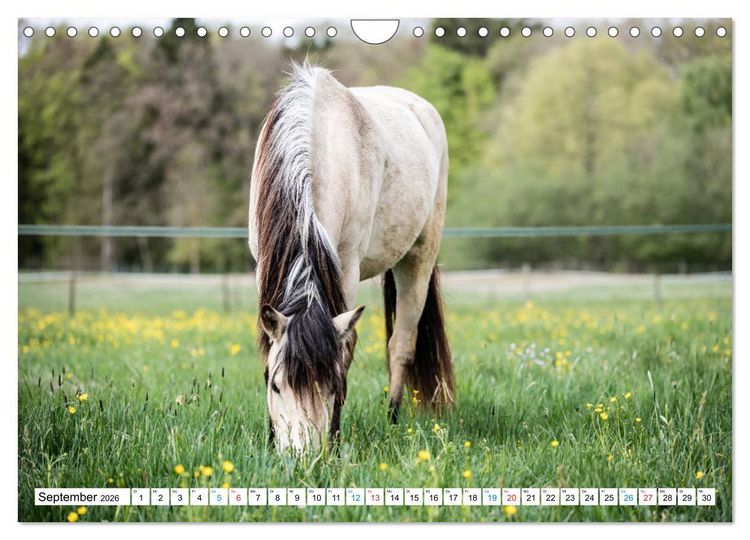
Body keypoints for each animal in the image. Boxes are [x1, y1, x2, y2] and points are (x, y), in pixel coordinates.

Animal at [248, 63, 454, 453]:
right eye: (276, 385)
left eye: (330, 385)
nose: (302, 457)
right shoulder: (263, 265)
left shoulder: (347, 267)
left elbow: (343, 352)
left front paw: (335, 437)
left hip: (419, 257)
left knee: (401, 345)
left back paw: (392, 419)